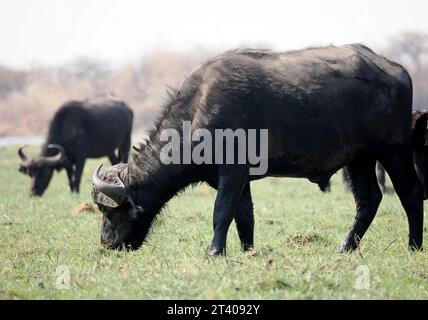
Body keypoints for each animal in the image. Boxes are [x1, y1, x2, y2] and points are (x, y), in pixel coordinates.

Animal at [92, 44, 422, 255]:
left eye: (110, 212)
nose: (106, 245)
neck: (199, 110)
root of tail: (397, 70)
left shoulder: (232, 171)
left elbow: (221, 211)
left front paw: (214, 252)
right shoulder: (240, 179)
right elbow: (244, 215)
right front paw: (248, 251)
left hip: (394, 150)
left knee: (410, 192)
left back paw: (414, 246)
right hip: (359, 158)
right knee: (368, 201)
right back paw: (345, 247)